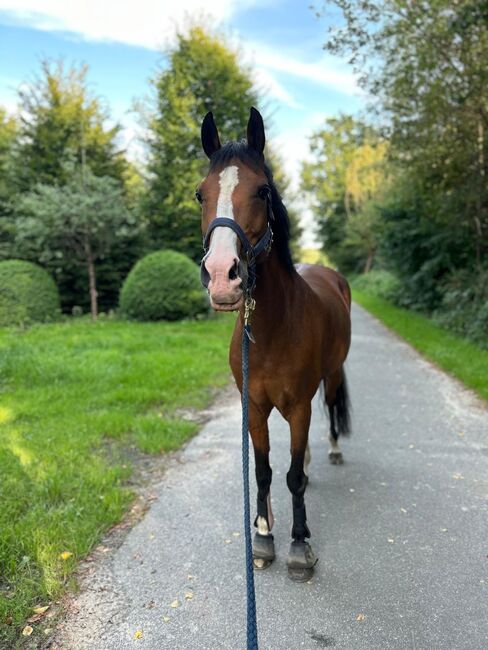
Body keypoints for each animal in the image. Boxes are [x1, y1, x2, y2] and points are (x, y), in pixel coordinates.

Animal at [198, 107, 350, 584]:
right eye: (199, 194)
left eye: (262, 190)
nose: (222, 275)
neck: (270, 329)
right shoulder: (254, 407)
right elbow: (264, 470)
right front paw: (263, 537)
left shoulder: (298, 406)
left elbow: (291, 478)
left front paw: (300, 546)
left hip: (332, 374)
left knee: (331, 407)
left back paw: (333, 451)